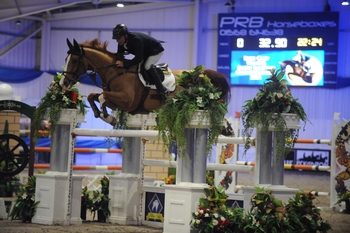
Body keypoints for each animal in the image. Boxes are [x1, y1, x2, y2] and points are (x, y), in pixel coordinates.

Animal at [60, 39, 230, 128]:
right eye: (65, 59)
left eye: (74, 60)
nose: (63, 83)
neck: (116, 72)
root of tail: (200, 73)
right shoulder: (117, 102)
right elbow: (92, 96)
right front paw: (103, 115)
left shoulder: (127, 101)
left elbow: (102, 97)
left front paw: (107, 117)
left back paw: (227, 129)